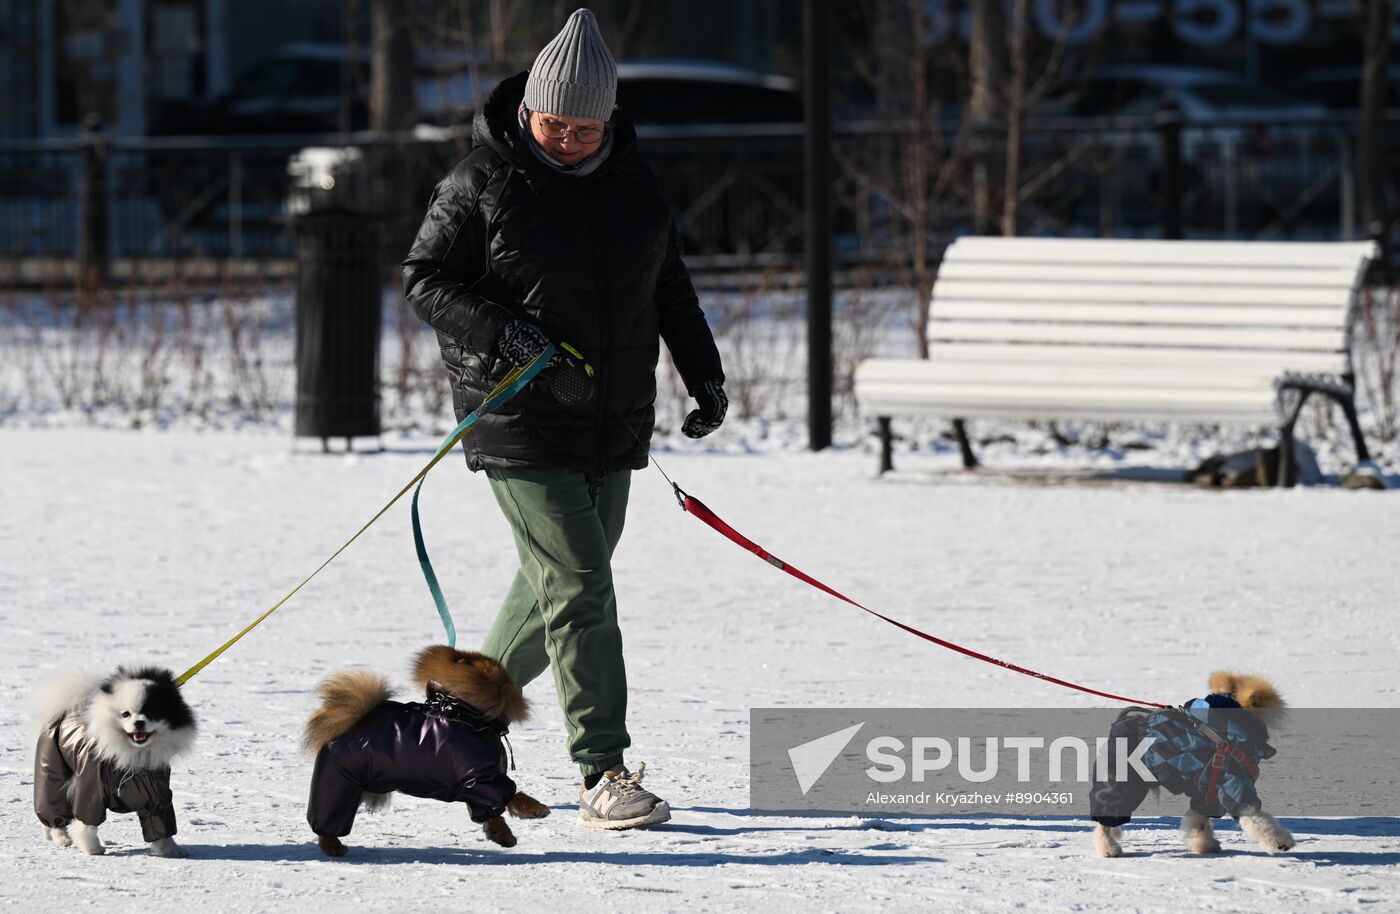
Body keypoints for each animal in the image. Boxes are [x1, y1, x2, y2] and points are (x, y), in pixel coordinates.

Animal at [33, 666, 197, 857]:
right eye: (125, 714)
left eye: (152, 713)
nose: (139, 723)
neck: (134, 754)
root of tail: (68, 710)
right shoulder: (91, 793)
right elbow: (86, 825)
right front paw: (92, 848)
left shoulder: (157, 796)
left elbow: (162, 827)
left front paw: (170, 850)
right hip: (52, 771)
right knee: (52, 807)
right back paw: (61, 837)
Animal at [303, 645, 550, 857]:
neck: (466, 715)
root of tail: (340, 726)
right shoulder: (482, 778)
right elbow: (513, 795)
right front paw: (536, 809)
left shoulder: (475, 785)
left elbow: (492, 815)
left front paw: (504, 837)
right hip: (338, 784)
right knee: (327, 821)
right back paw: (334, 847)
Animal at [1090, 671, 1294, 858]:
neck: (1228, 733)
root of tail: (1122, 722)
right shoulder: (1234, 785)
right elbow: (1257, 819)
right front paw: (1280, 841)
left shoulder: (1207, 793)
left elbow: (1199, 820)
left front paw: (1204, 845)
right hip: (1121, 783)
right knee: (1106, 818)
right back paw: (1108, 848)